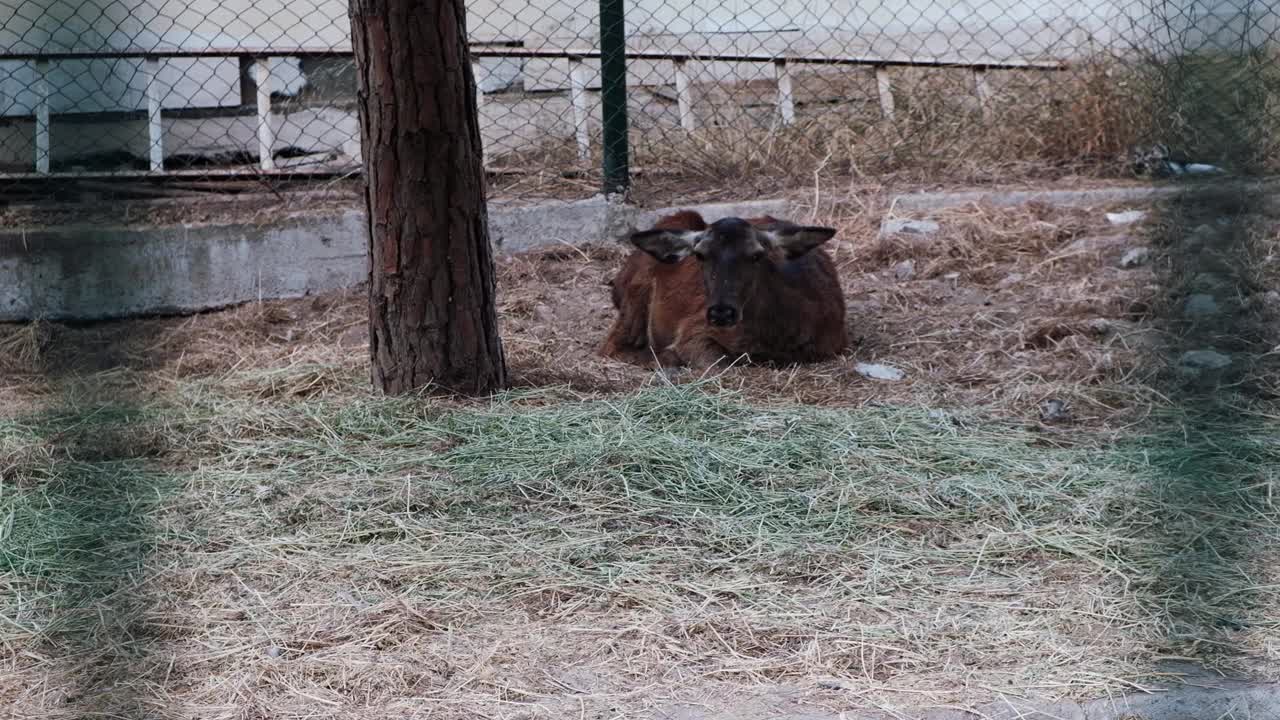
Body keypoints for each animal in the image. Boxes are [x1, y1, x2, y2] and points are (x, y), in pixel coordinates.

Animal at [601, 207, 849, 363]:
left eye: (757, 255)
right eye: (699, 255)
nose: (721, 312)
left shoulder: (832, 344)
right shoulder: (693, 329)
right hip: (634, 298)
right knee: (612, 344)